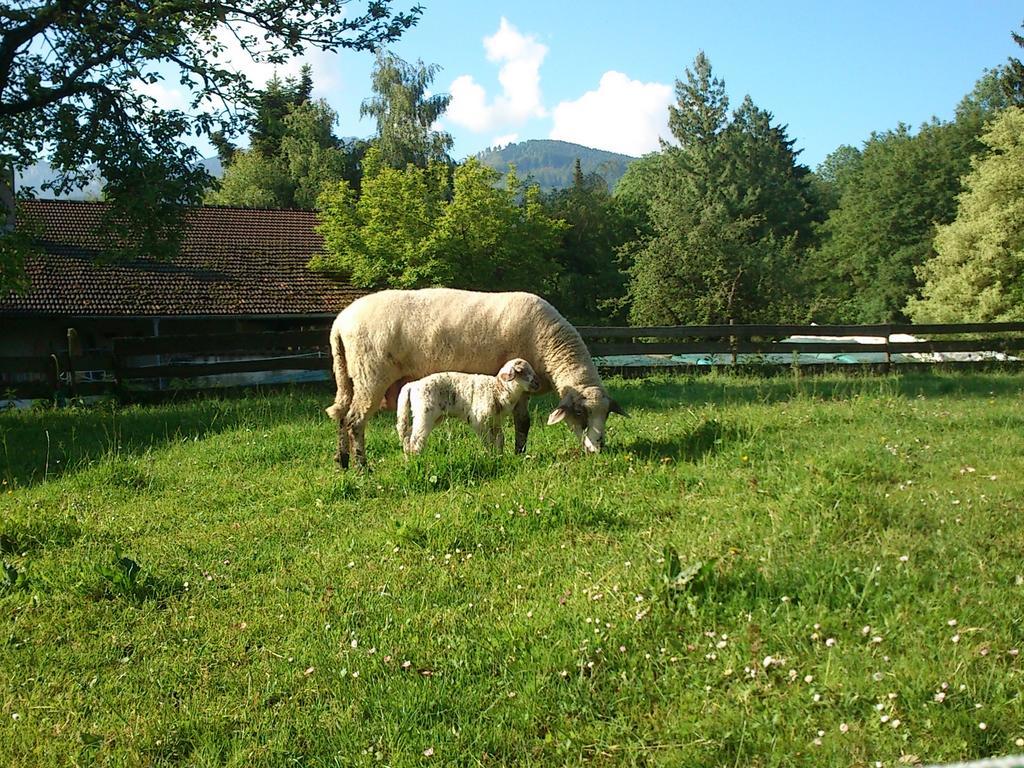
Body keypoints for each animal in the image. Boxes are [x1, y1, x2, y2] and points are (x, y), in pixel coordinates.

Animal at [393, 360, 544, 456]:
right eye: (521, 371)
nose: (538, 383)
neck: (498, 389)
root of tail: (412, 385)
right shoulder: (479, 420)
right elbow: (488, 441)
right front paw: (491, 457)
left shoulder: (495, 421)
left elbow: (500, 439)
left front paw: (499, 457)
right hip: (425, 414)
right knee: (416, 439)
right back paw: (418, 459)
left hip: (429, 416)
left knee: (407, 435)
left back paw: (408, 459)